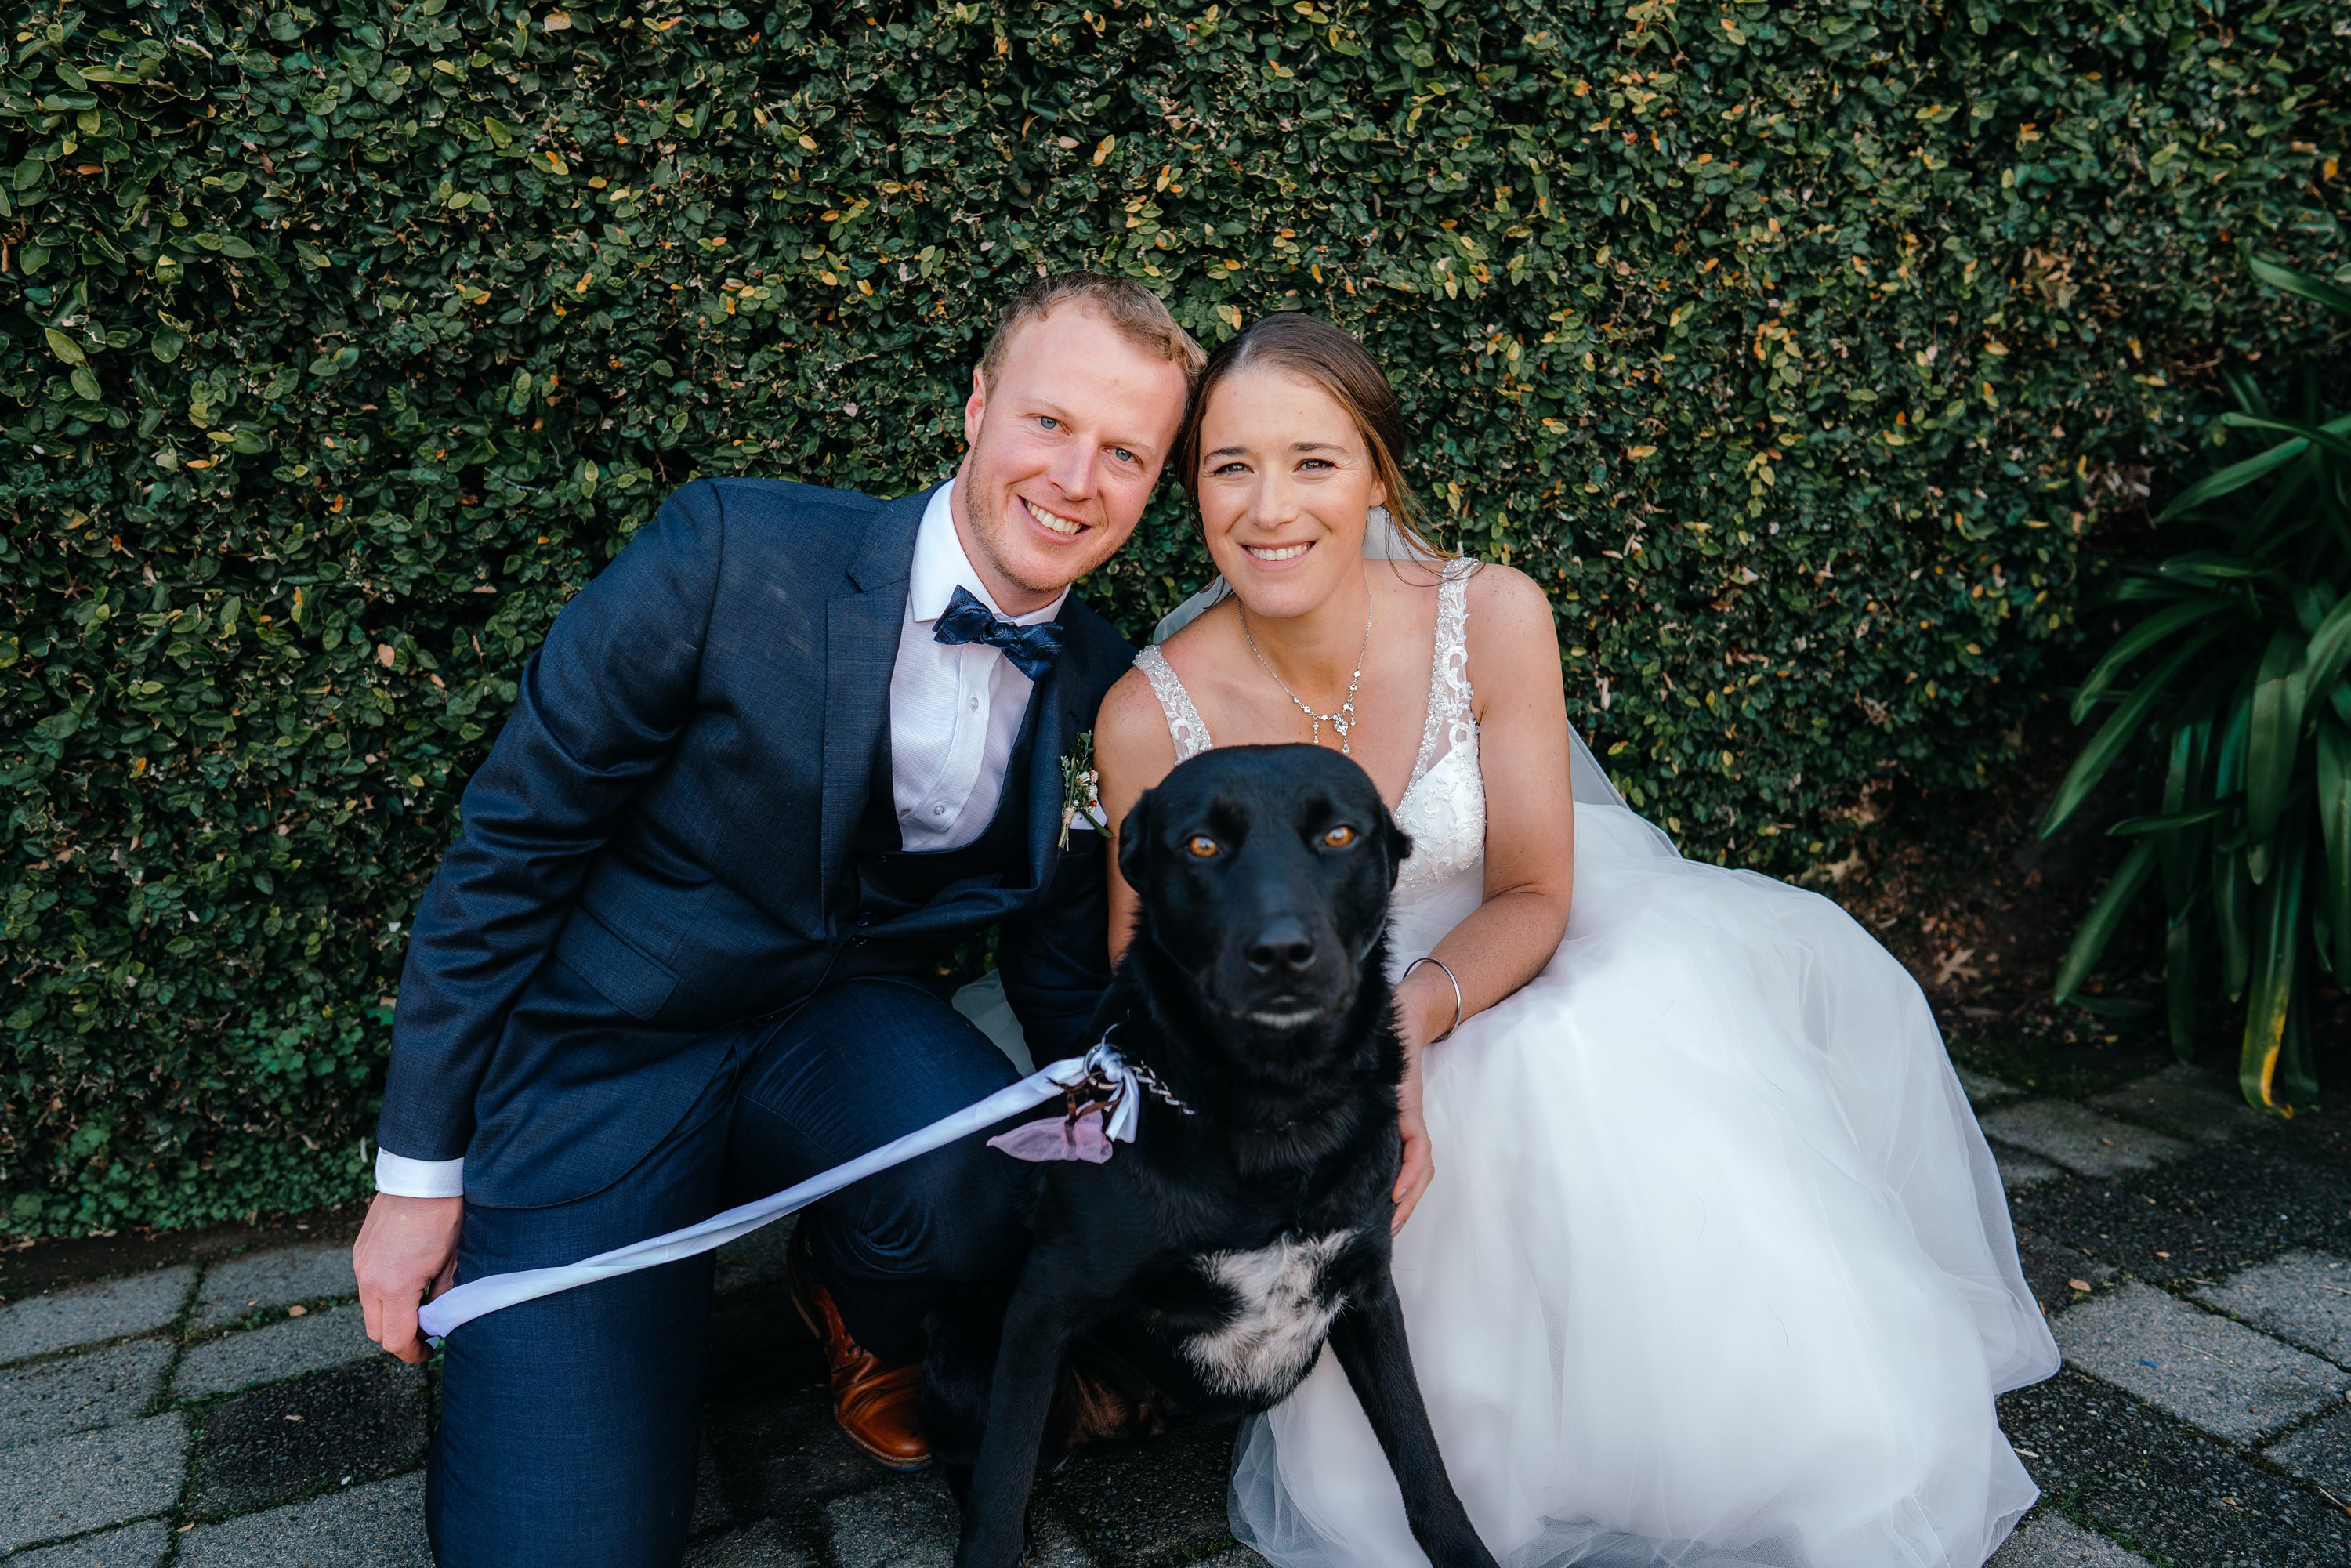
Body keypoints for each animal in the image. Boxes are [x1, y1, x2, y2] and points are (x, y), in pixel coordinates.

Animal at [922, 748, 1495, 1568]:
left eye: (1339, 834)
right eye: (1201, 845)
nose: (1282, 953)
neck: (1274, 1115)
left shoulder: (1367, 1287)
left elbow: (1422, 1458)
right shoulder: (1044, 1302)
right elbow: (1001, 1483)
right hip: (964, 1339)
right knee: (974, 1457)